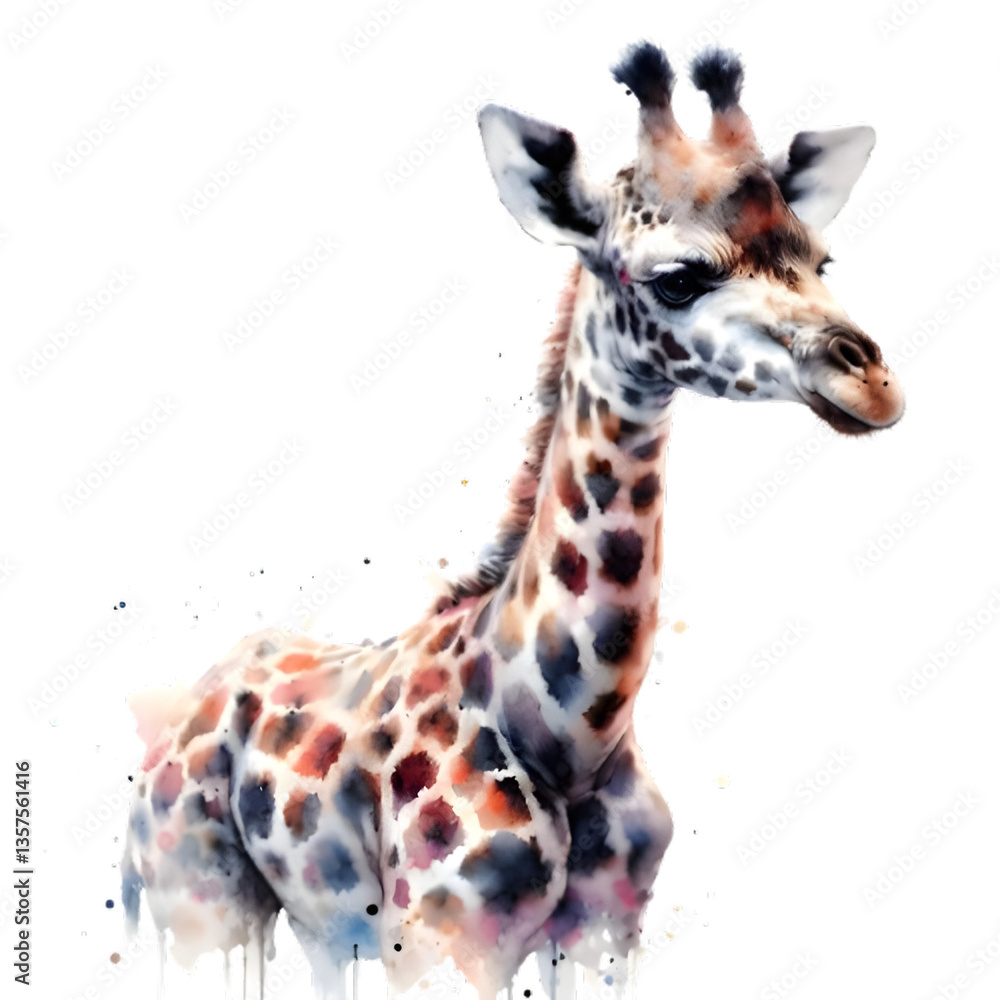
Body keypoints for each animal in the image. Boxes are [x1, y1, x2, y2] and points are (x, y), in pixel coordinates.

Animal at [122, 41, 904, 999]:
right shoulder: (442, 935)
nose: (871, 382)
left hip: (318, 921)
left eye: (819, 262)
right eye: (680, 276)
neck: (571, 733)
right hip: (200, 901)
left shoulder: (606, 932)